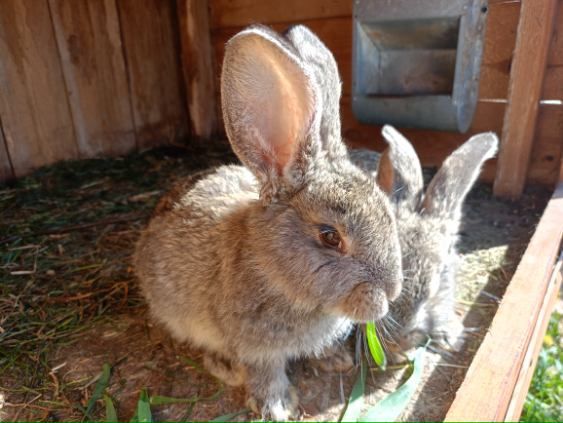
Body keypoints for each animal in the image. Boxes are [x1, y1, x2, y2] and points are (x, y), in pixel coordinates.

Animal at [134, 24, 404, 422]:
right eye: (330, 237)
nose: (391, 292)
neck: (273, 269)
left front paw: (335, 360)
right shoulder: (256, 345)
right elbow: (265, 373)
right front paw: (277, 406)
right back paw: (224, 367)